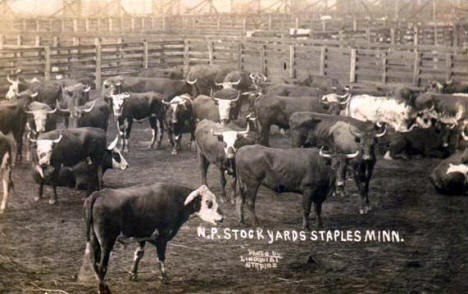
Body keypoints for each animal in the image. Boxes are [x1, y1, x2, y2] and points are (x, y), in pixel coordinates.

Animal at [83, 184, 223, 294]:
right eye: (208, 202)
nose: (221, 218)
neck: (175, 200)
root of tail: (99, 194)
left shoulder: (142, 236)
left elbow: (138, 254)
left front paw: (133, 274)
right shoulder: (162, 237)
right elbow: (161, 257)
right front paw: (164, 277)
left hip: (95, 240)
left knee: (95, 263)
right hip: (107, 242)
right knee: (102, 266)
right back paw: (103, 289)